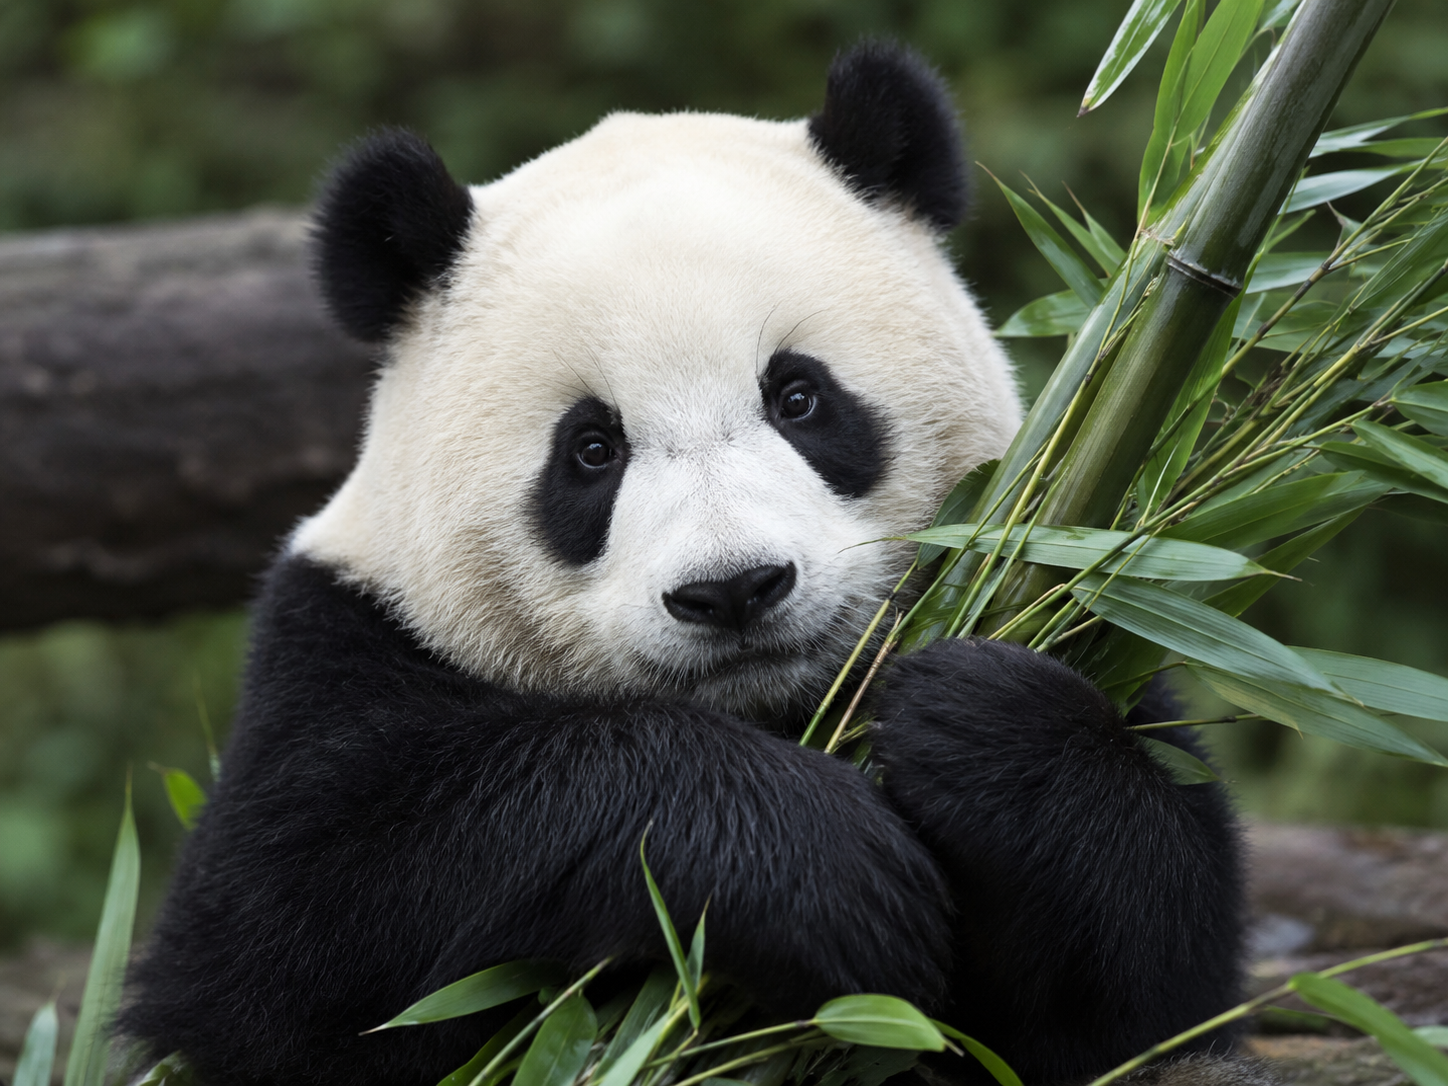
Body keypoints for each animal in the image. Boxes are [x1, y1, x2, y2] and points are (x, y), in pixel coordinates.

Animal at [123, 42, 1249, 1086]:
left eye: (798, 397)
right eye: (591, 449)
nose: (733, 590)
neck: (767, 710)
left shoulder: (1103, 628)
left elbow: (1152, 993)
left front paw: (979, 729)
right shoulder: (349, 641)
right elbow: (282, 937)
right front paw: (818, 869)